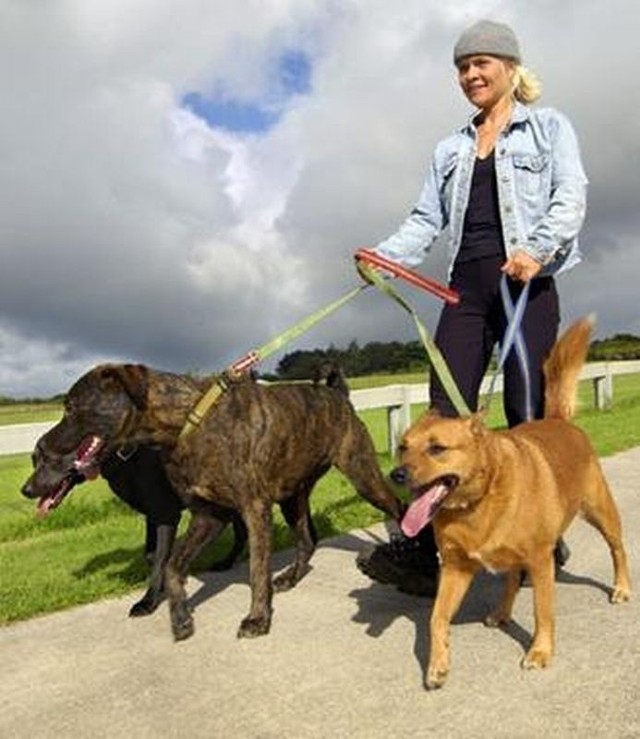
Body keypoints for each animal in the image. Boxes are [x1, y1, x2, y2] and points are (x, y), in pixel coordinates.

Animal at [23, 368, 404, 640]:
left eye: (71, 407)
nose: (44, 441)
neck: (188, 421)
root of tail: (337, 393)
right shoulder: (208, 515)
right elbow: (171, 566)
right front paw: (179, 618)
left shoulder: (252, 509)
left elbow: (256, 570)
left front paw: (257, 618)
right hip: (293, 495)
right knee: (307, 539)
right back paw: (291, 577)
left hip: (362, 473)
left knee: (397, 507)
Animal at [392, 318, 632, 688]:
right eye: (403, 446)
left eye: (437, 448)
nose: (397, 475)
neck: (477, 501)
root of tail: (560, 420)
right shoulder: (455, 568)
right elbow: (436, 618)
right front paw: (437, 664)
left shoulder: (540, 561)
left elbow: (542, 611)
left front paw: (540, 651)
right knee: (511, 578)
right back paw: (501, 612)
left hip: (600, 511)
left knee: (617, 549)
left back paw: (621, 587)